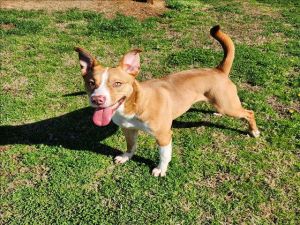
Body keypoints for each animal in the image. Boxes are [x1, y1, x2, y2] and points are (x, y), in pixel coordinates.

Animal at [75, 25, 260, 177]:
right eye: (91, 83)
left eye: (117, 83)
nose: (97, 99)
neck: (135, 104)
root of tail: (218, 70)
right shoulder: (128, 129)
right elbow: (131, 145)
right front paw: (126, 157)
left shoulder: (164, 136)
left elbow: (164, 155)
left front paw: (160, 170)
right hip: (221, 104)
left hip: (228, 106)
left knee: (249, 112)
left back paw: (254, 131)